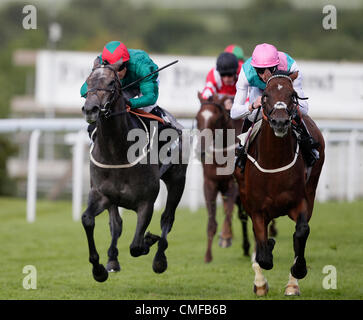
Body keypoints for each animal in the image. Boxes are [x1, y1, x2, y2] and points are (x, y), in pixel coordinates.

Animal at [80, 57, 188, 282]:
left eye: (111, 83)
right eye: (88, 81)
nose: (91, 109)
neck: (117, 151)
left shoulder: (146, 203)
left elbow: (136, 246)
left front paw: (150, 239)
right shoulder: (101, 194)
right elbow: (88, 220)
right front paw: (99, 269)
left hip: (177, 180)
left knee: (167, 218)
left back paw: (159, 259)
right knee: (116, 224)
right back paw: (112, 260)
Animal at [196, 93, 250, 262]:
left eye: (216, 119)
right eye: (197, 118)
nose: (201, 150)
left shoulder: (233, 184)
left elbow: (228, 212)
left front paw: (225, 236)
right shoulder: (209, 184)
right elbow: (212, 221)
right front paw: (208, 256)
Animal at [235, 71, 326, 296]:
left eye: (292, 95)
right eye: (265, 95)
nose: (280, 122)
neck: (274, 161)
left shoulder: (301, 202)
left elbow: (301, 232)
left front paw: (298, 272)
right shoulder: (257, 210)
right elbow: (263, 254)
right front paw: (261, 279)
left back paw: (293, 284)